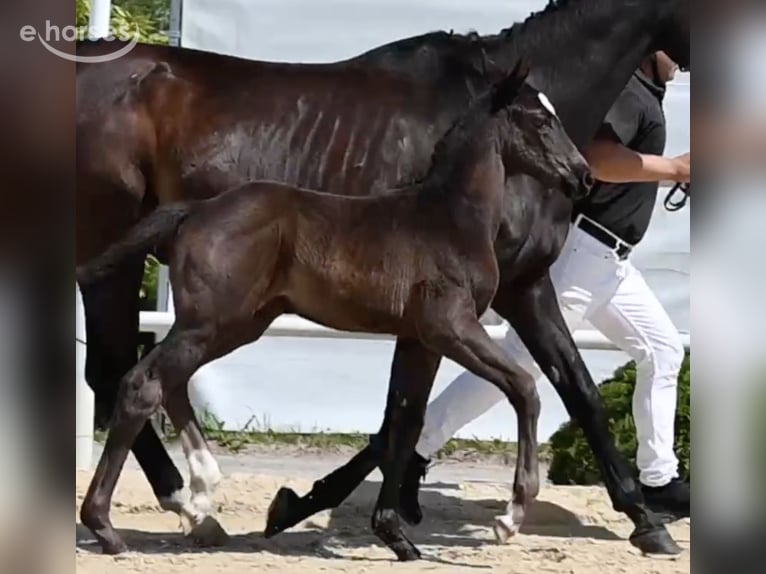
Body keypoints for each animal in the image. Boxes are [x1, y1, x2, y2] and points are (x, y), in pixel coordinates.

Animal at [75, 0, 690, 555]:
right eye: (540, 120)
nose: (583, 177)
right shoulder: (468, 311)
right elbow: (437, 408)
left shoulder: (522, 288)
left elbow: (567, 389)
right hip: (135, 276)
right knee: (123, 374)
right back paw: (166, 507)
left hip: (225, 313)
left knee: (148, 375)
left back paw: (195, 507)